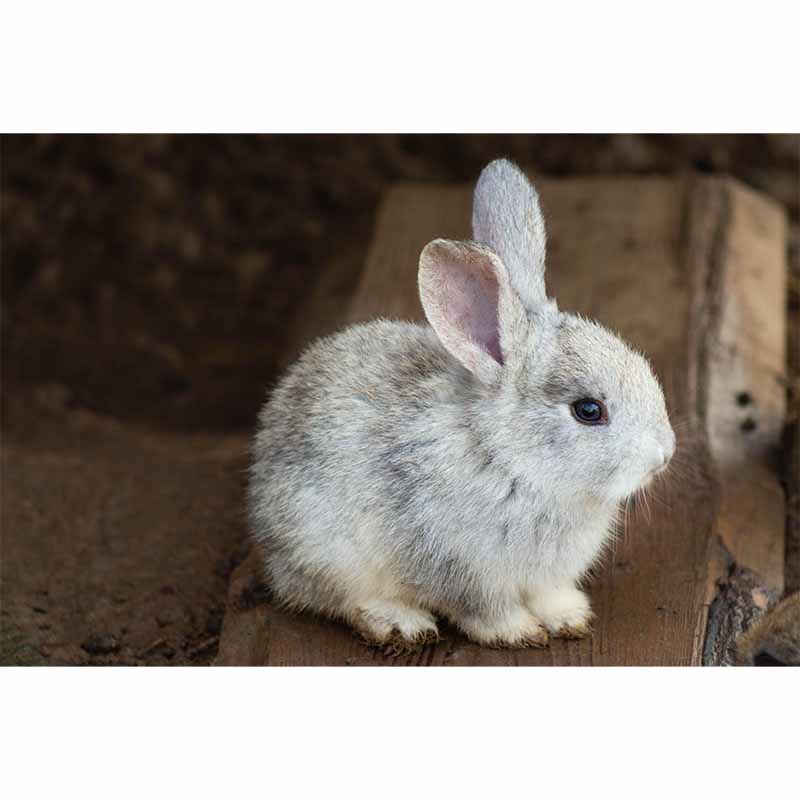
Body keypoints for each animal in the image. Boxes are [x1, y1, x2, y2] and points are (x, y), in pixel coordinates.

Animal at [247, 158, 676, 648]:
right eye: (588, 411)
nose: (664, 454)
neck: (509, 460)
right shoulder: (462, 570)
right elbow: (484, 611)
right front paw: (519, 633)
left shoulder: (546, 577)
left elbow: (550, 595)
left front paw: (570, 618)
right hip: (326, 550)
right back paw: (401, 623)